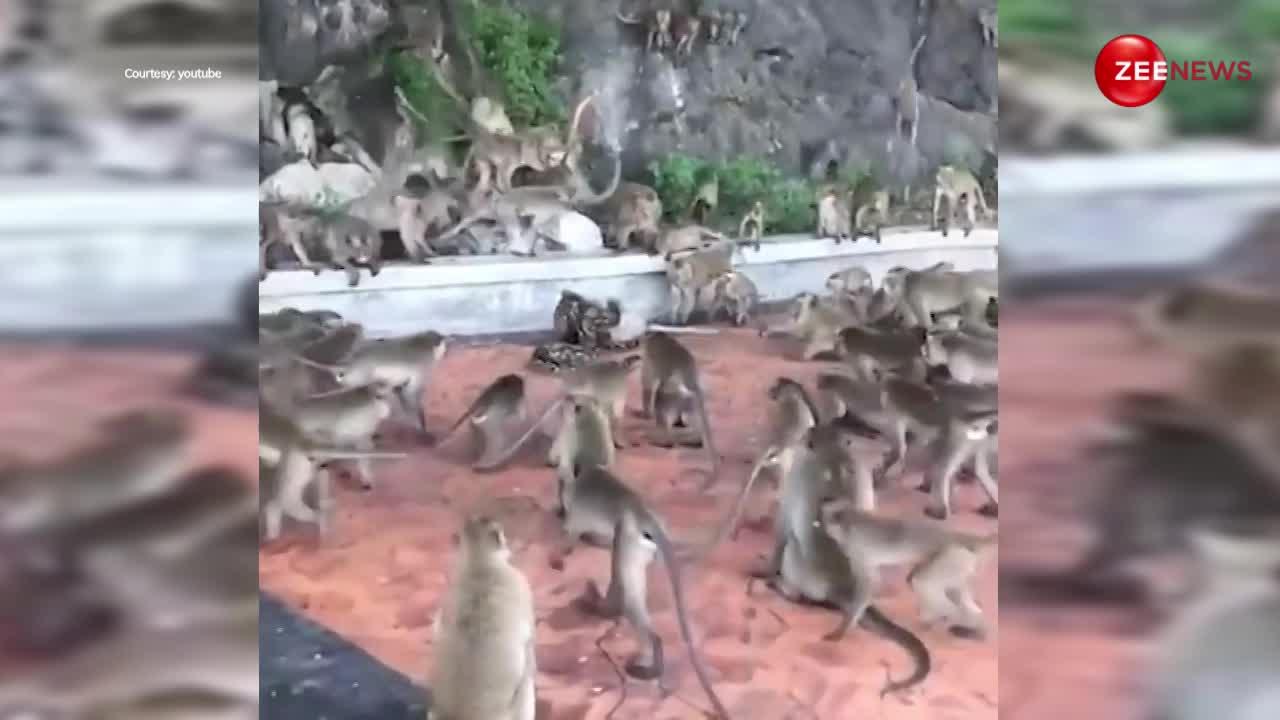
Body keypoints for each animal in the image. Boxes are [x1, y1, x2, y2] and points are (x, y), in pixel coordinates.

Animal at [560, 463, 731, 718]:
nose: (560, 506)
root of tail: (640, 511)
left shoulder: (575, 514)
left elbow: (570, 534)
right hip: (644, 545)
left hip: (628, 540)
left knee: (625, 585)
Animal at [641, 332, 721, 489]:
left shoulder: (648, 356)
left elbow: (647, 385)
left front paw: (646, 414)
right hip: (687, 399)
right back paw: (693, 437)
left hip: (676, 395)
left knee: (661, 398)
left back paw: (666, 440)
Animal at [817, 497, 997, 639]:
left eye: (824, 518)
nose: (821, 523)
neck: (851, 519)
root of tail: (956, 537)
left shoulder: (855, 548)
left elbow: (870, 582)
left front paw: (843, 628)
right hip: (959, 561)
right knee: (947, 587)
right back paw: (973, 620)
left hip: (951, 557)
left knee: (921, 581)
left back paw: (965, 621)